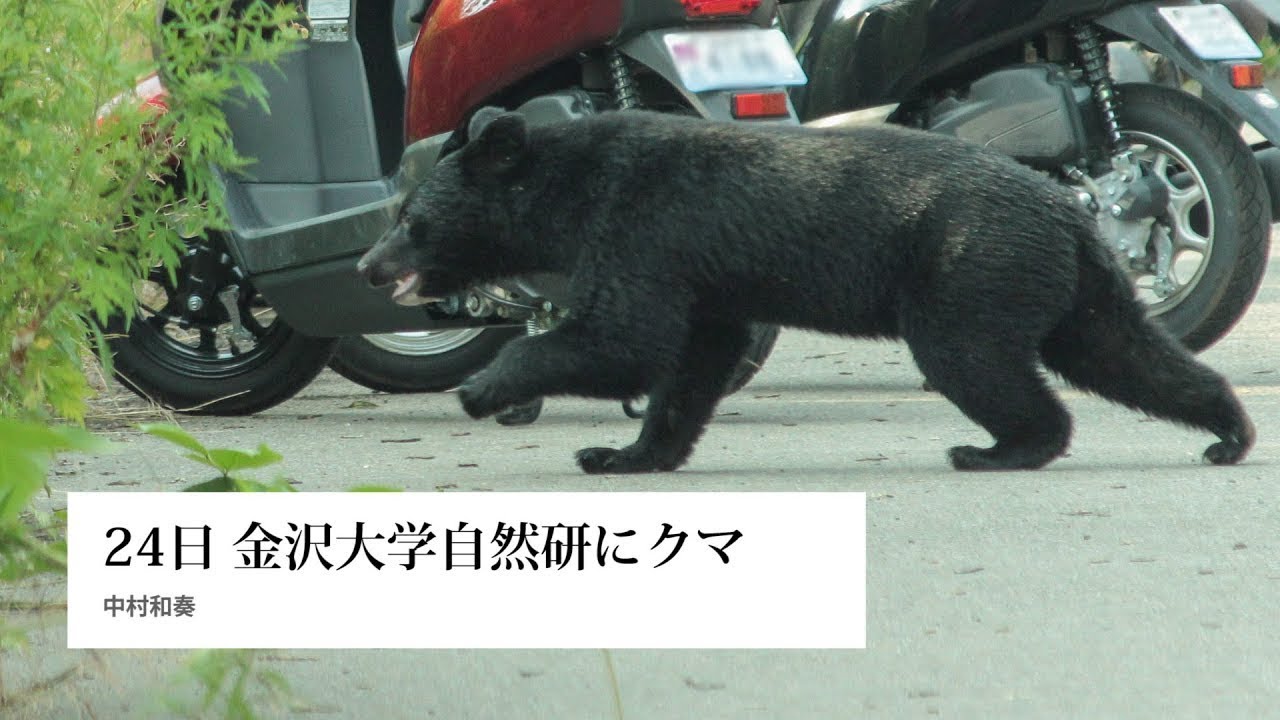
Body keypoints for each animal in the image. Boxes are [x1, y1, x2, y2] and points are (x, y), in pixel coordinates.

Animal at [356, 108, 1255, 474]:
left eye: (412, 219)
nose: (369, 265)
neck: (571, 189)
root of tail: (1070, 210)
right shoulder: (707, 278)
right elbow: (692, 360)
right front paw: (624, 453)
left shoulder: (645, 228)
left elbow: (625, 337)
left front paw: (487, 386)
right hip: (1069, 285)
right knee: (1123, 351)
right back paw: (1228, 429)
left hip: (968, 268)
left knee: (971, 360)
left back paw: (999, 447)